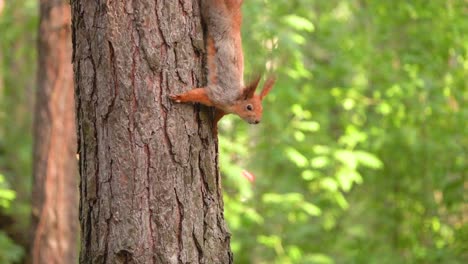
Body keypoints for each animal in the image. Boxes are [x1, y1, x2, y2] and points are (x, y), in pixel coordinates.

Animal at [170, 0, 276, 133]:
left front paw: (215, 128)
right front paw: (181, 97)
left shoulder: (224, 109)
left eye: (261, 109)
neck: (234, 103)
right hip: (212, 12)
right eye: (249, 107)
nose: (257, 121)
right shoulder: (218, 95)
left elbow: (218, 117)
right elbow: (197, 94)